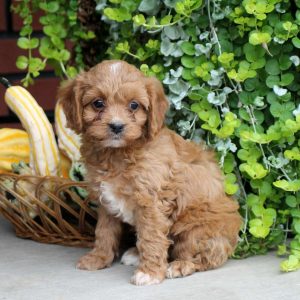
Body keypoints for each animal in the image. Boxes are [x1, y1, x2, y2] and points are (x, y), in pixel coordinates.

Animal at [58, 59, 241, 286]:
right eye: (98, 103)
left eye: (134, 105)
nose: (116, 126)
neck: (117, 153)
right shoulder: (105, 201)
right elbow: (104, 231)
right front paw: (98, 258)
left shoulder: (152, 201)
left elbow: (151, 237)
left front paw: (150, 273)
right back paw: (135, 254)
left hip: (196, 228)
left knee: (202, 256)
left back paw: (179, 265)